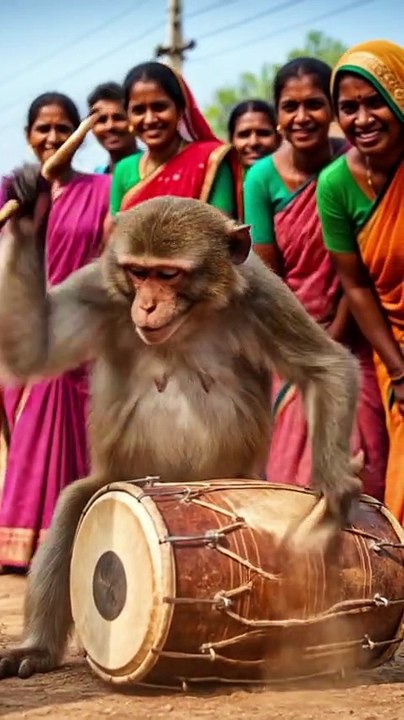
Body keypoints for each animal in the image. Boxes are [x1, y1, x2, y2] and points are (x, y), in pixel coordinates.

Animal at [0, 190, 361, 680]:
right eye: (138, 273)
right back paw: (36, 649)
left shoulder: (262, 296)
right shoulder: (101, 291)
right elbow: (34, 348)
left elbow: (326, 368)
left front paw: (333, 482)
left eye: (168, 274)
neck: (190, 320)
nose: (147, 305)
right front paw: (28, 213)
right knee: (74, 503)